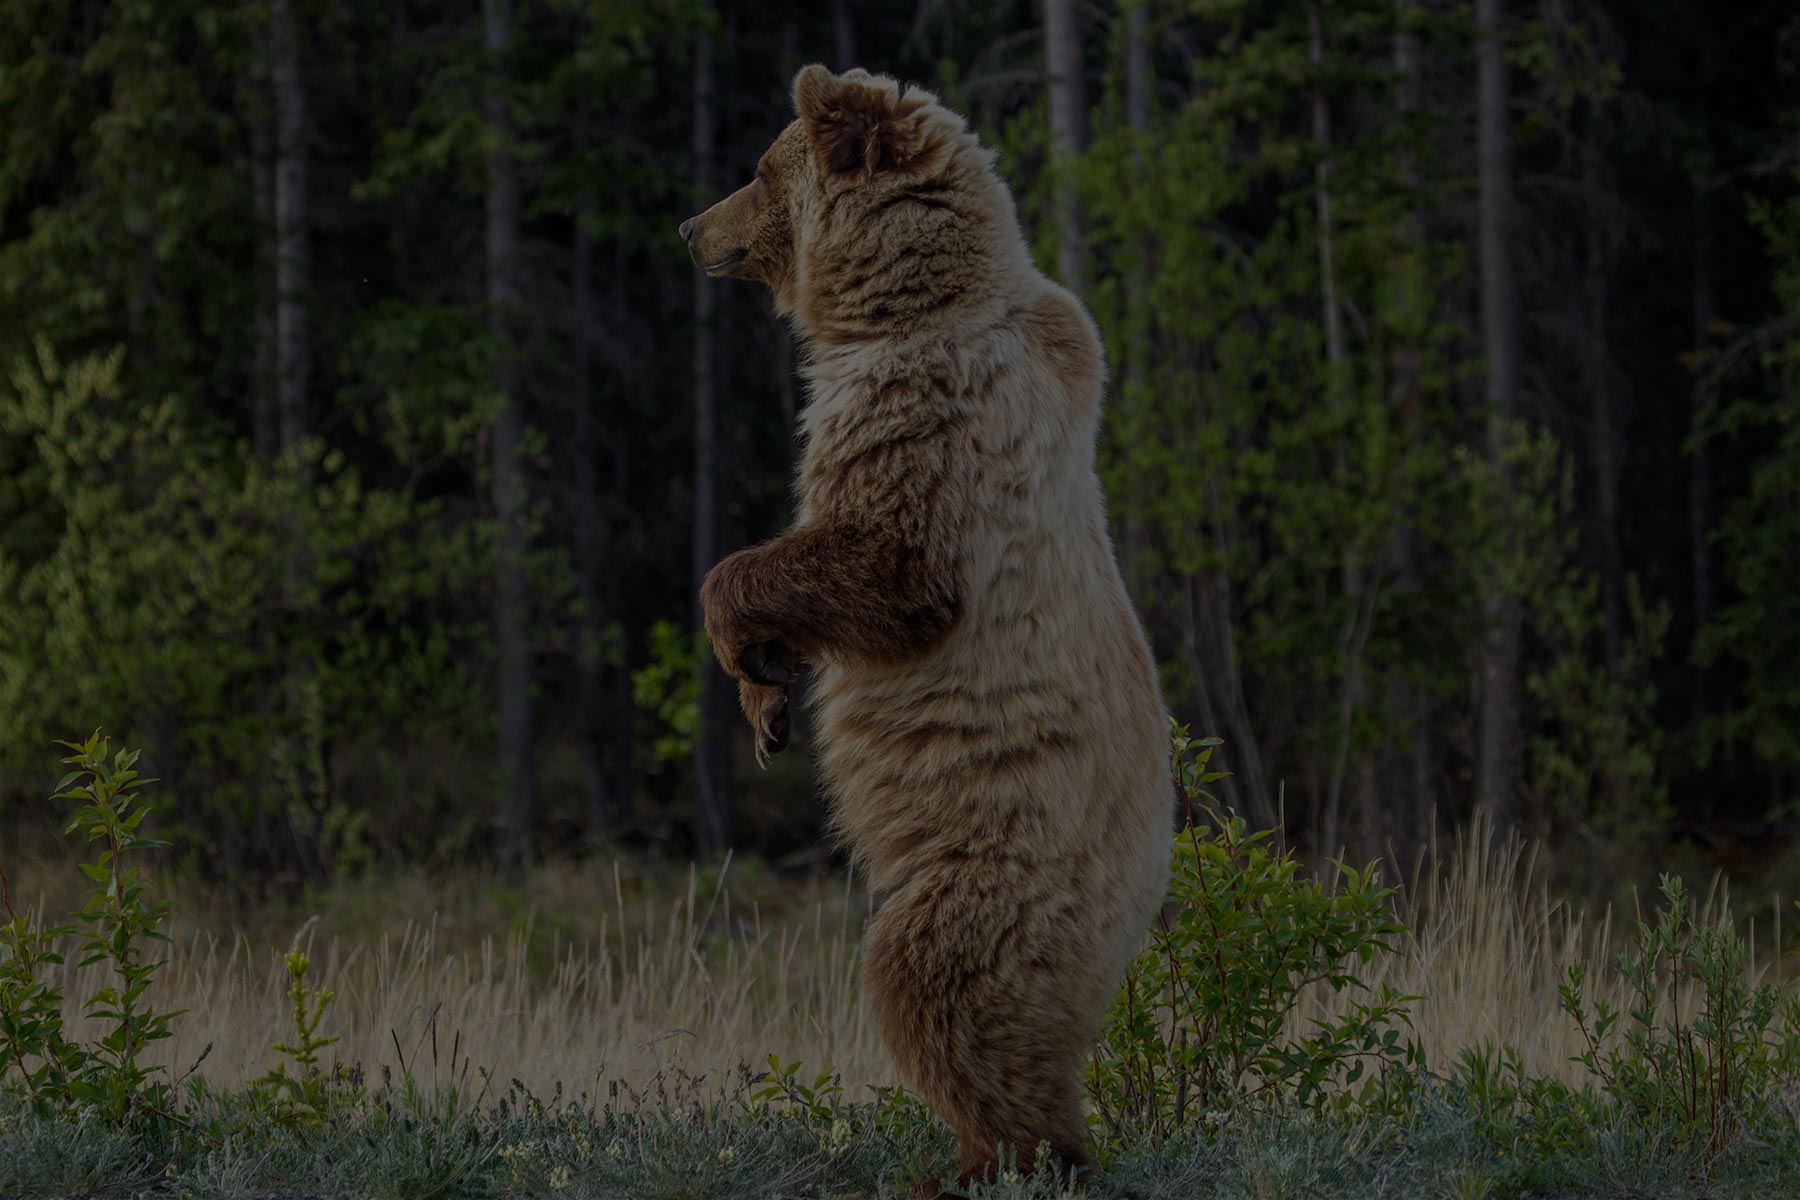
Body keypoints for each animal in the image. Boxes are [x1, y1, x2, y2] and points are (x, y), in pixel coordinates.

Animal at [680, 67, 1173, 1200]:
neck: (899, 307)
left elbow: (889, 569)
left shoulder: (931, 414)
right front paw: (767, 698)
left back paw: (983, 1159)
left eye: (758, 168)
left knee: (937, 984)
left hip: (1004, 865)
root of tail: (1151, 879)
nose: (689, 227)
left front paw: (736, 631)